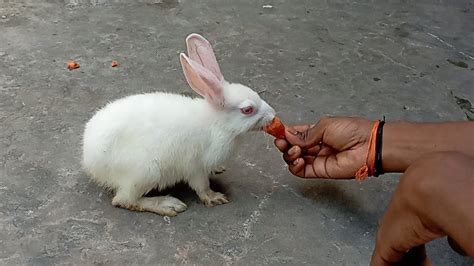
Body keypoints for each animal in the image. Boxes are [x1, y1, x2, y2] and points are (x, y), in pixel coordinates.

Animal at [83, 33, 276, 216]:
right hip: (146, 172)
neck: (217, 122)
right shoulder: (196, 166)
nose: (273, 116)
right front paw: (214, 198)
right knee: (124, 200)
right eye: (247, 110)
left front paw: (218, 169)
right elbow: (202, 186)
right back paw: (168, 205)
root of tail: (90, 160)